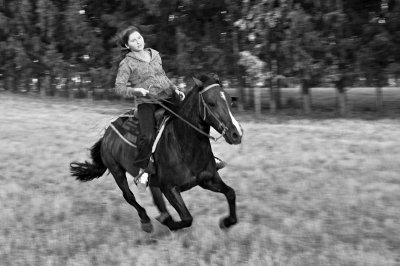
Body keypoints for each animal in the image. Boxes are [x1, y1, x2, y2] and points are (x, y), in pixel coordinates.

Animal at [70, 73, 242, 233]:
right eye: (211, 103)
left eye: (229, 100)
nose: (236, 134)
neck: (183, 145)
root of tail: (107, 134)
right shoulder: (170, 188)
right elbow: (187, 218)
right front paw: (168, 223)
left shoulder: (208, 179)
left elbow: (231, 193)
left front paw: (226, 222)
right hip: (116, 170)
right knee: (129, 196)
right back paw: (146, 221)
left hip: (152, 181)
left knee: (155, 199)